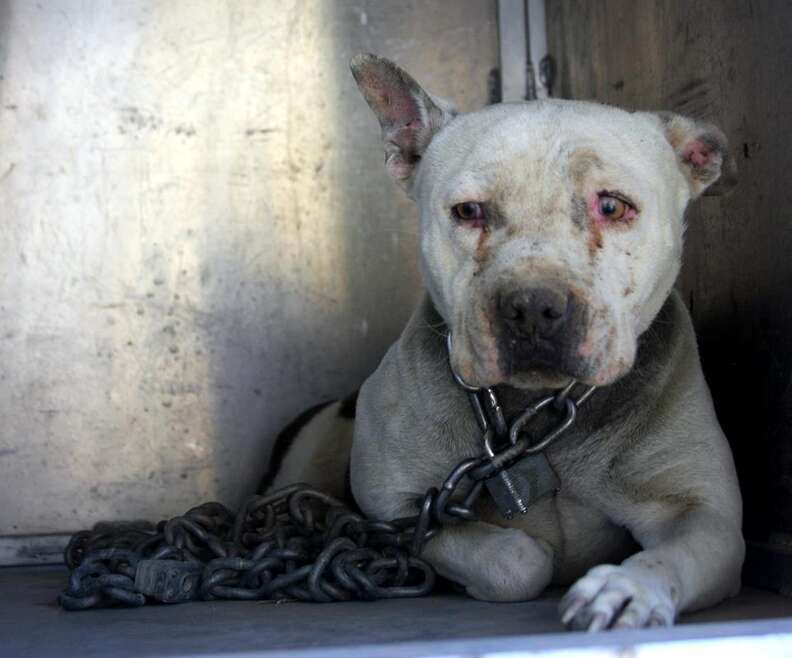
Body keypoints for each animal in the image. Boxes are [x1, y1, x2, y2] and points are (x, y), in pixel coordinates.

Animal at [262, 55, 744, 632]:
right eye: (468, 212)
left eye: (612, 206)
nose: (533, 307)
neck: (531, 411)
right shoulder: (397, 506)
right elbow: (518, 560)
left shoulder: (705, 518)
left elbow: (669, 555)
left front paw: (628, 590)